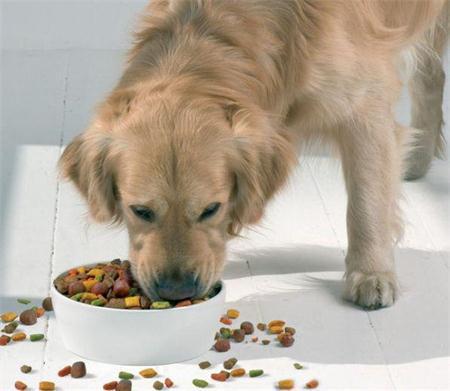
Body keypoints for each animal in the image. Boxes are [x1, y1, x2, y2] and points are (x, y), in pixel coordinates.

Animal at [59, 1, 446, 310]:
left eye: (211, 209)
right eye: (139, 211)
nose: (176, 291)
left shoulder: (364, 104)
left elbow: (366, 203)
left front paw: (371, 274)